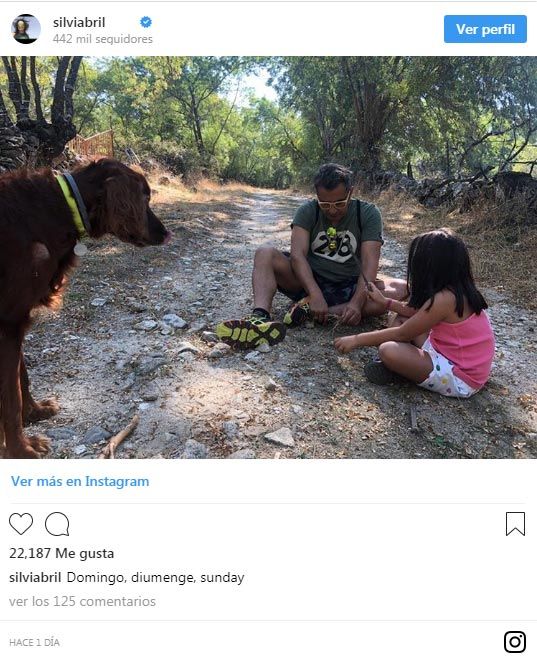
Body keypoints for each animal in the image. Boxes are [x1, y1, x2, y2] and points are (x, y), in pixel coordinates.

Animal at [0, 158, 170, 460]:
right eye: (146, 197)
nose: (166, 233)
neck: (60, 207)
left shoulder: (16, 321)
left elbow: (22, 377)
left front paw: (35, 412)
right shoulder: (8, 322)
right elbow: (11, 397)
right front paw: (22, 449)